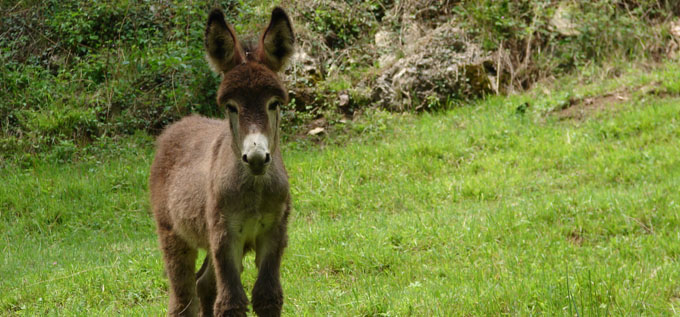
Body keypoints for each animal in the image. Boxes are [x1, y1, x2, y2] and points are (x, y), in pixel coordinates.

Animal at [150, 7, 294, 316]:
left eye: (274, 104)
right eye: (231, 107)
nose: (256, 158)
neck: (254, 190)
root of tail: (180, 124)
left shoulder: (274, 234)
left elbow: (267, 296)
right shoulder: (225, 236)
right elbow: (231, 302)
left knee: (204, 284)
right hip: (173, 235)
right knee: (183, 298)